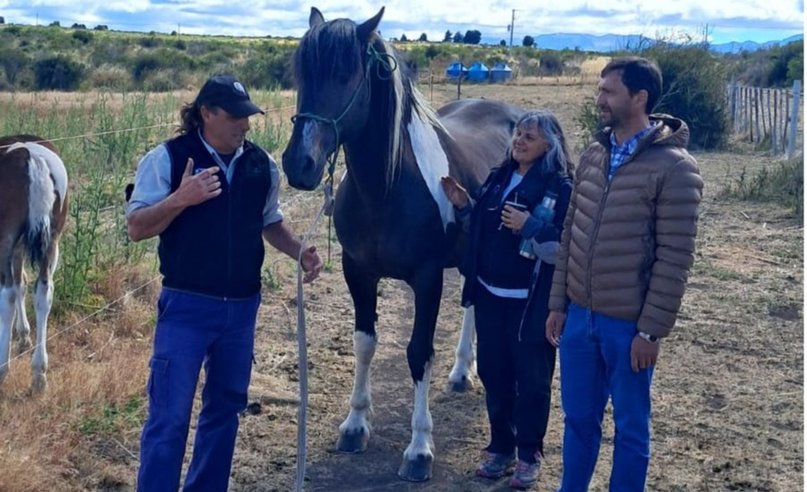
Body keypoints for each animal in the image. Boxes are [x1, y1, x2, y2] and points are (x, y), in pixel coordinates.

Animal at [0, 134, 68, 392]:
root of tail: (31, 158)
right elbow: (23, 282)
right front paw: (24, 335)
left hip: (5, 238)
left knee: (7, 294)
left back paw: (3, 367)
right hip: (53, 240)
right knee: (43, 292)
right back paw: (39, 372)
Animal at [284, 7, 524, 482]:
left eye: (346, 75)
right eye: (302, 73)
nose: (299, 163)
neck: (386, 187)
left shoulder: (427, 278)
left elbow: (418, 353)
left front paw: (419, 449)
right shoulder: (357, 271)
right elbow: (364, 342)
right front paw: (355, 424)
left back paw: (461, 373)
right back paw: (461, 372)